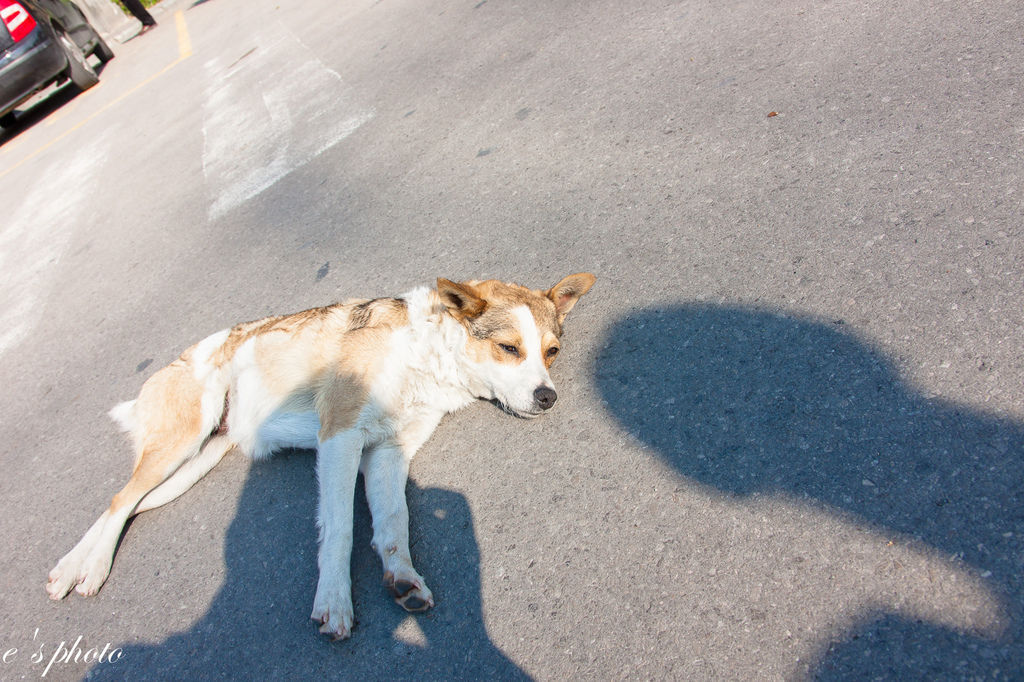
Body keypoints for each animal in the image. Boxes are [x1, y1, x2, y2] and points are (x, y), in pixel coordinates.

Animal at [48, 270, 598, 638]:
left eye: (551, 352)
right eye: (509, 348)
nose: (548, 397)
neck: (423, 355)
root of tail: (173, 364)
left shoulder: (388, 452)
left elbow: (393, 523)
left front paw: (402, 576)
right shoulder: (340, 438)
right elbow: (340, 530)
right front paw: (334, 599)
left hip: (191, 465)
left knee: (129, 505)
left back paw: (73, 565)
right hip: (181, 441)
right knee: (121, 500)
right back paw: (89, 568)